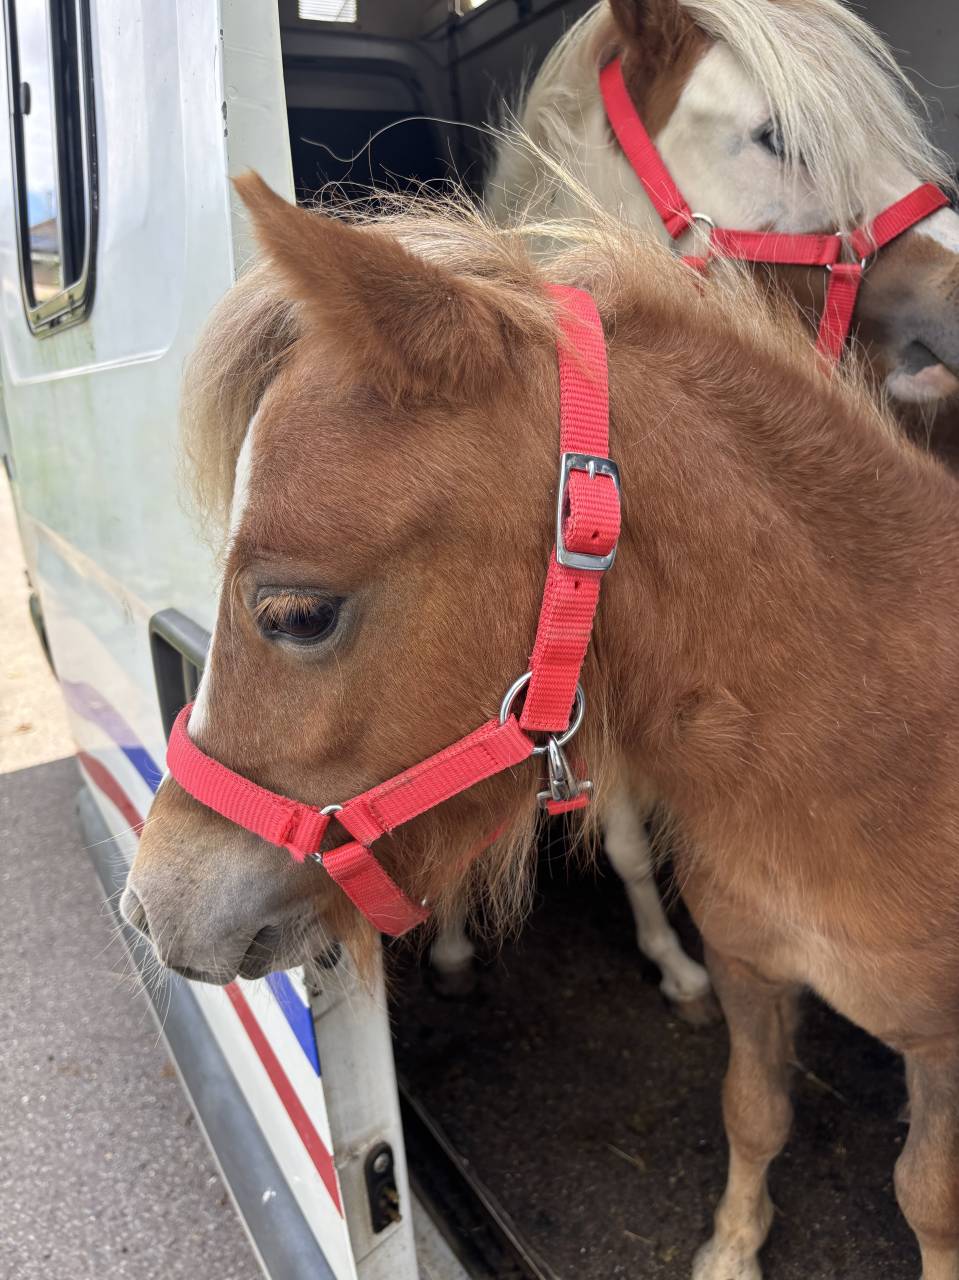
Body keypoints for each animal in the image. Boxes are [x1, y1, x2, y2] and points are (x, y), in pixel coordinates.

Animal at [122, 173, 959, 1278]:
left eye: (296, 613)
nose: (151, 906)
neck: (870, 755)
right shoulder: (748, 969)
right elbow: (753, 1110)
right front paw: (730, 1248)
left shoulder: (941, 1050)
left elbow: (927, 1199)